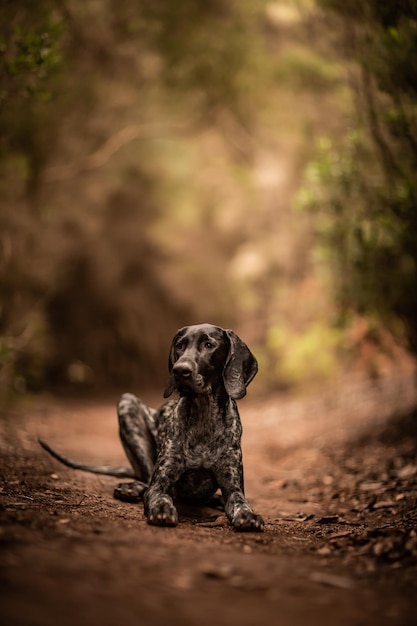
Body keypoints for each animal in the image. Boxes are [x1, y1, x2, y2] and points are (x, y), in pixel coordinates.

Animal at [40, 322, 264, 532]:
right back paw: (131, 488)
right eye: (180, 345)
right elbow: (159, 495)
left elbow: (241, 503)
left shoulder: (233, 486)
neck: (203, 416)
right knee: (146, 481)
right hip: (127, 404)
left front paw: (249, 516)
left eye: (209, 345)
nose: (179, 370)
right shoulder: (160, 483)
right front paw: (163, 509)